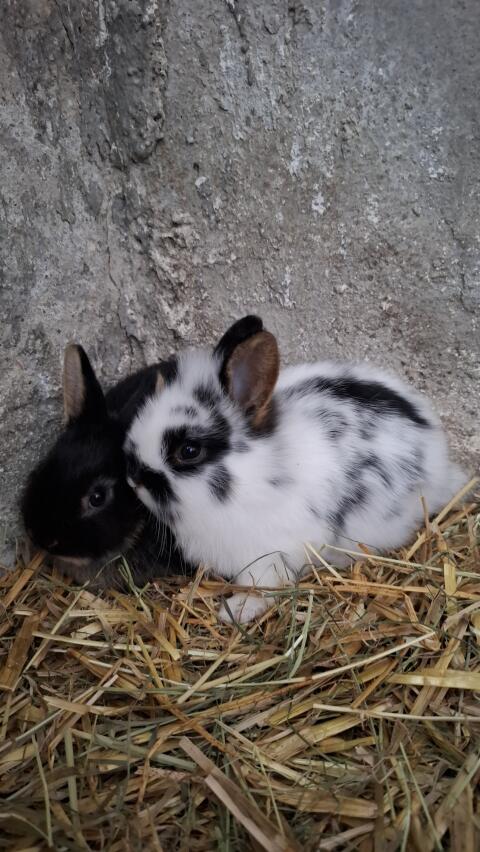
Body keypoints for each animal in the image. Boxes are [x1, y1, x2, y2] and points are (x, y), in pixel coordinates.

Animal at [125, 315, 467, 623]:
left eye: (189, 451)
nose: (134, 478)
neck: (254, 475)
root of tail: (440, 462)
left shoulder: (265, 557)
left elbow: (261, 586)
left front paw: (235, 611)